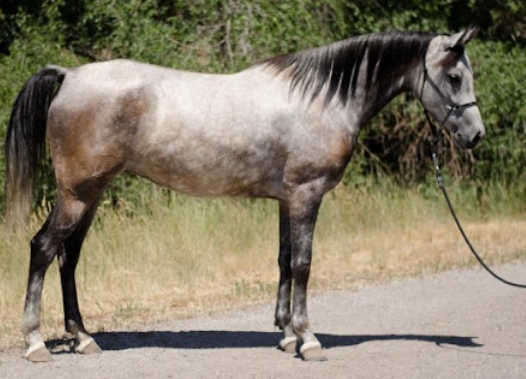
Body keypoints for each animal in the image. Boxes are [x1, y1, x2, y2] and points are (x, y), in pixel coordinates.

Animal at [4, 29, 486, 362]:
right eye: (454, 76)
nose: (476, 136)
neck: (322, 100)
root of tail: (69, 75)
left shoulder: (287, 200)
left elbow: (285, 262)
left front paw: (287, 334)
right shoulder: (307, 196)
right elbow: (304, 264)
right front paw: (309, 339)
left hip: (91, 194)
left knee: (68, 258)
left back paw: (83, 337)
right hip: (77, 194)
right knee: (43, 248)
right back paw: (35, 342)